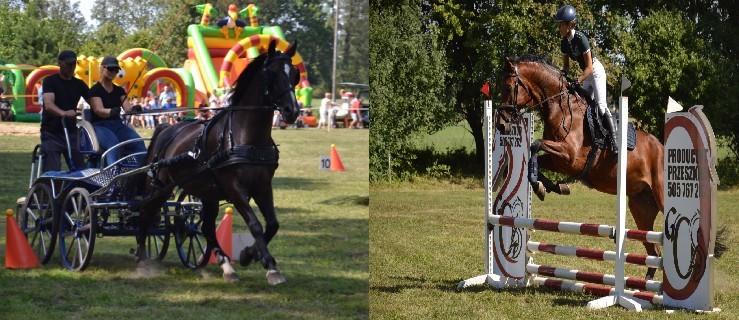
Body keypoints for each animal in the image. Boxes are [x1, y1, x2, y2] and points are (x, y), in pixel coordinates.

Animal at [136, 40, 300, 284]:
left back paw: (227, 267)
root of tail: (167, 128)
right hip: (160, 188)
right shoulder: (234, 188)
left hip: (207, 193)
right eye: (271, 74)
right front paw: (270, 267)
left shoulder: (262, 186)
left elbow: (272, 224)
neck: (247, 138)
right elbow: (255, 224)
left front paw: (249, 255)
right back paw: (141, 258)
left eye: (295, 75)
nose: (292, 111)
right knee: (146, 213)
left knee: (205, 228)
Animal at [498, 55, 664, 280]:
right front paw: (550, 187)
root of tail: (662, 147)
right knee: (653, 250)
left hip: (661, 197)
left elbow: (535, 144)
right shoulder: (560, 161)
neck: (560, 108)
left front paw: (545, 187)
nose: (501, 124)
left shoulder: (569, 157)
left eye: (508, 87)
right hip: (641, 207)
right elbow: (537, 159)